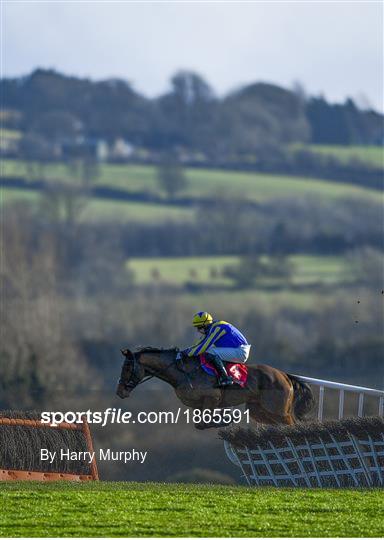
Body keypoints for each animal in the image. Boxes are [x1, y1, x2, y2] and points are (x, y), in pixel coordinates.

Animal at [115, 346, 314, 430]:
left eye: (127, 367)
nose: (120, 392)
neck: (182, 371)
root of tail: (284, 375)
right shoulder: (200, 405)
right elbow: (201, 423)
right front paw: (224, 419)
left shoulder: (212, 397)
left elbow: (204, 423)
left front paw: (226, 420)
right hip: (259, 410)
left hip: (278, 409)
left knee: (290, 423)